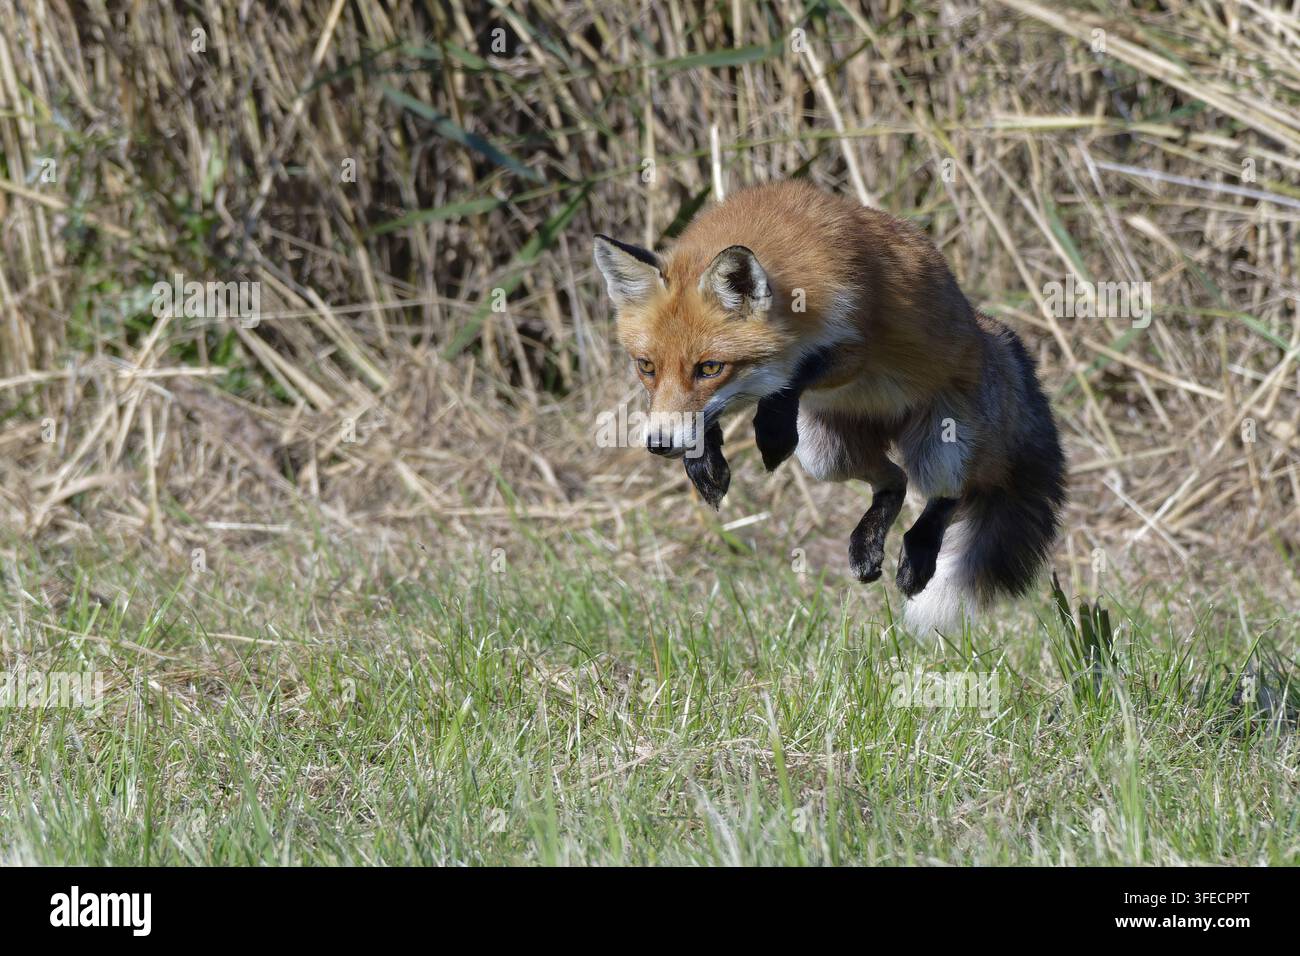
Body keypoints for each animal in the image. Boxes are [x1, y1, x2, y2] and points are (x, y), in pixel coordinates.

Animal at [592, 180, 1066, 634]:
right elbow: (712, 413)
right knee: (894, 481)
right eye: (646, 367)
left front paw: (770, 432)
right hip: (826, 454)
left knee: (950, 494)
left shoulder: (856, 348)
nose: (659, 444)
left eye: (710, 367)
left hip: (944, 441)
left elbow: (793, 377)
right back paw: (867, 545)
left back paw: (918, 557)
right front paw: (704, 461)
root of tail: (989, 331)